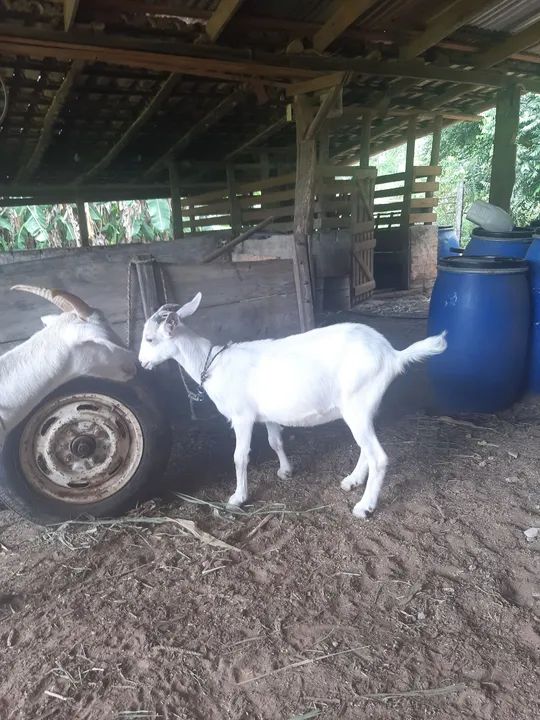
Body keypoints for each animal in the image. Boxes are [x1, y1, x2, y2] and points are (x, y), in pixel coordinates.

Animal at [138, 293, 447, 517]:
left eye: (150, 338)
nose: (142, 363)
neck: (212, 363)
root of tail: (392, 354)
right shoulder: (268, 415)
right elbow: (275, 441)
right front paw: (286, 471)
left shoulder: (242, 416)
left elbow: (240, 456)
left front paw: (238, 497)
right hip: (363, 407)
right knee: (366, 449)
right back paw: (352, 480)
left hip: (357, 404)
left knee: (379, 457)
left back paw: (364, 506)